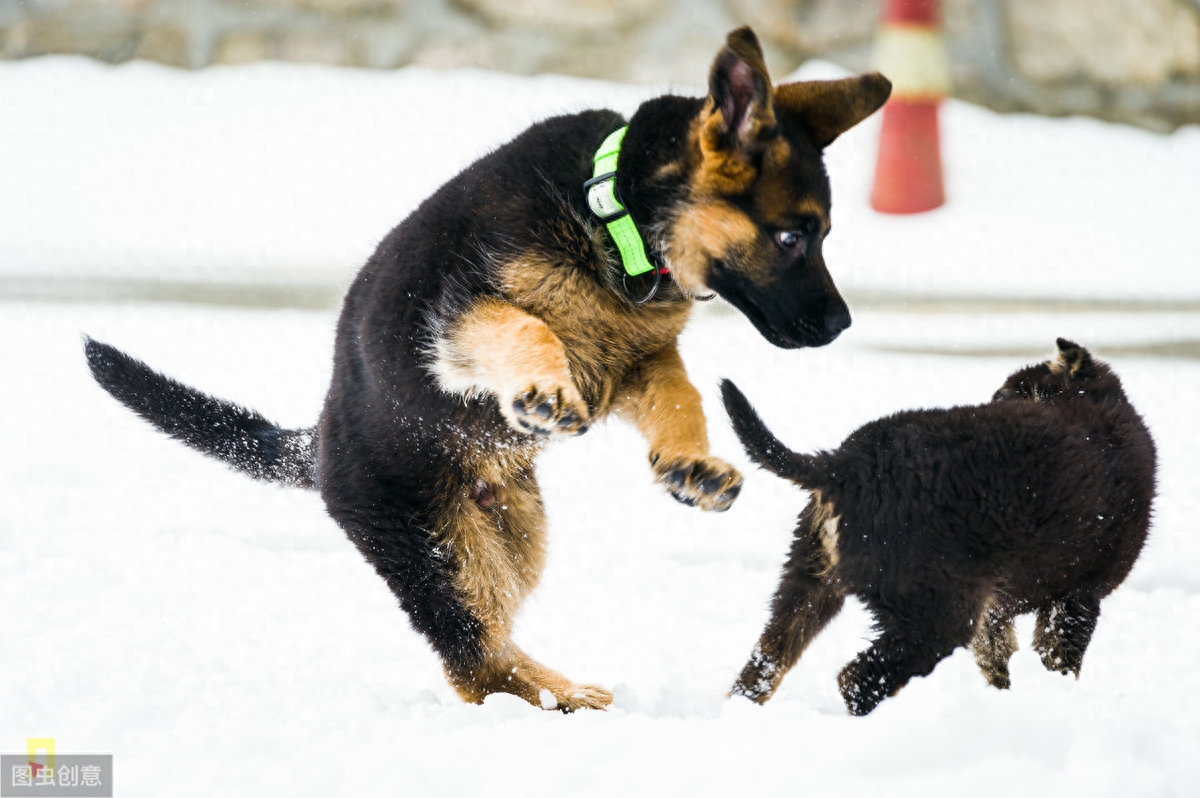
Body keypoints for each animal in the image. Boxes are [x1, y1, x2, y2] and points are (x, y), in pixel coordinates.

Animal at [84, 26, 892, 710]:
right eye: (792, 237)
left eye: (822, 233)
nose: (841, 327)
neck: (615, 215)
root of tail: (318, 441)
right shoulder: (459, 314)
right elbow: (526, 324)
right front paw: (544, 391)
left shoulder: (640, 359)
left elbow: (682, 394)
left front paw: (691, 465)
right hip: (433, 550)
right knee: (473, 659)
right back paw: (566, 700)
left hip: (508, 536)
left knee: (484, 645)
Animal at [724, 338, 1156, 710]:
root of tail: (841, 465)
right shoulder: (1078, 595)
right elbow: (1059, 662)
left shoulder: (996, 610)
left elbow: (997, 662)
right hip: (936, 613)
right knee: (858, 680)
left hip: (811, 580)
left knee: (765, 666)